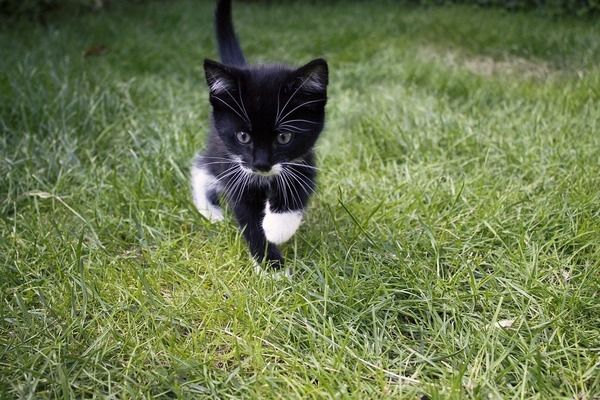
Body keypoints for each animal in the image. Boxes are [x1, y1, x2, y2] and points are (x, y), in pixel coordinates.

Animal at [191, 0, 328, 270]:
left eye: (284, 137)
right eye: (243, 137)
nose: (261, 165)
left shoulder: (304, 157)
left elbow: (298, 187)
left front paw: (277, 227)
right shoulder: (236, 169)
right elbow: (248, 216)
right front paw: (272, 266)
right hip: (219, 148)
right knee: (202, 167)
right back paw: (211, 210)